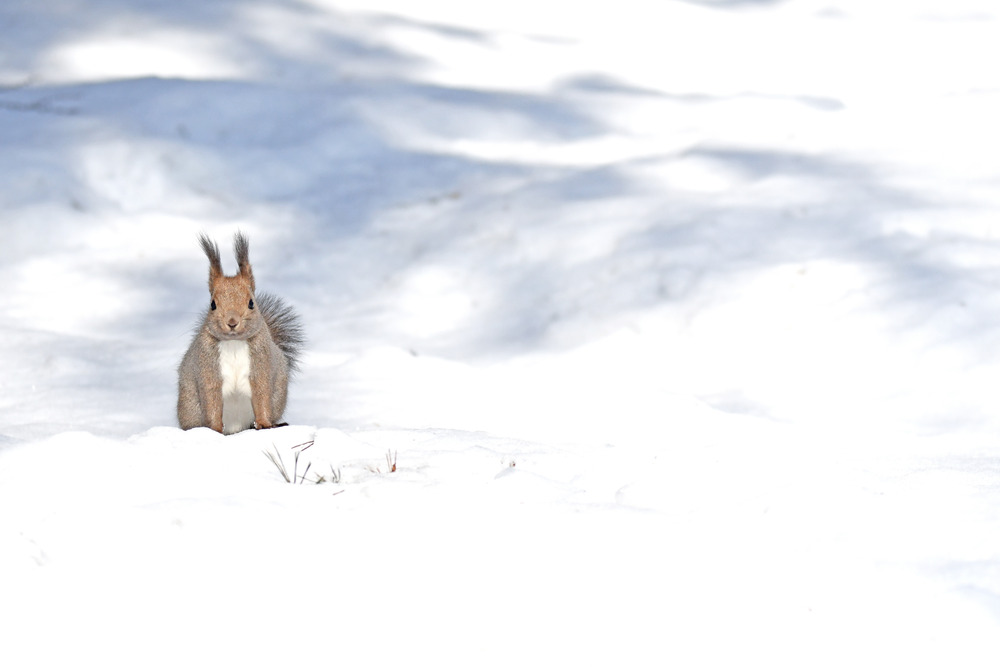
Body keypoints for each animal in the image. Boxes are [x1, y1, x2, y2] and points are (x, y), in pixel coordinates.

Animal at [176, 232, 302, 436]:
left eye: (251, 303)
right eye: (212, 304)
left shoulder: (262, 363)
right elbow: (211, 399)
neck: (234, 343)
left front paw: (265, 424)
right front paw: (214, 430)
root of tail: (236, 429)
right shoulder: (207, 367)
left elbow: (262, 394)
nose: (232, 322)